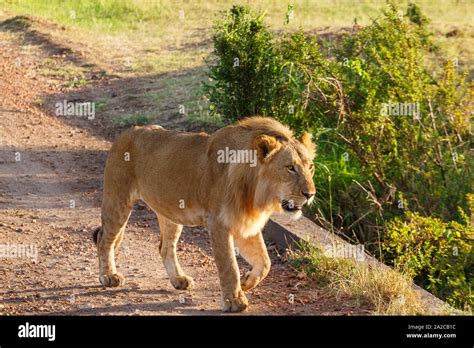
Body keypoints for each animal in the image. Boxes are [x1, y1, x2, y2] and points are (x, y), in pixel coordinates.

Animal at [92, 116, 314, 312]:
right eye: (290, 168)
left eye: (310, 167)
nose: (310, 194)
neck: (256, 193)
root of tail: (128, 131)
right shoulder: (218, 223)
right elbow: (229, 266)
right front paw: (234, 301)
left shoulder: (245, 225)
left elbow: (265, 262)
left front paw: (246, 283)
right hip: (118, 201)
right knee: (104, 239)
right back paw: (108, 276)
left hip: (170, 212)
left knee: (165, 247)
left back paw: (178, 279)